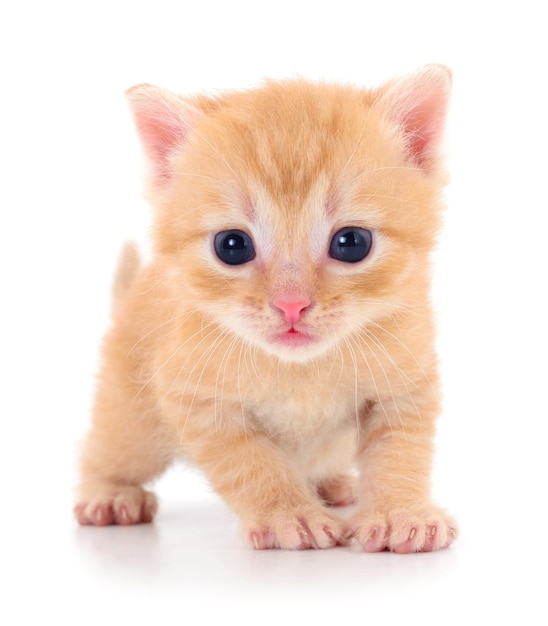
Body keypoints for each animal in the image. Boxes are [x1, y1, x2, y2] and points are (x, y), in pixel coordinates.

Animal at [74, 64, 458, 552]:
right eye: (232, 246)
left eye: (352, 243)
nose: (291, 305)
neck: (300, 370)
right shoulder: (195, 397)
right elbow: (251, 463)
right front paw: (288, 514)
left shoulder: (407, 380)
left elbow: (401, 451)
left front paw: (399, 512)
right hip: (130, 416)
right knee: (109, 451)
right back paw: (108, 492)